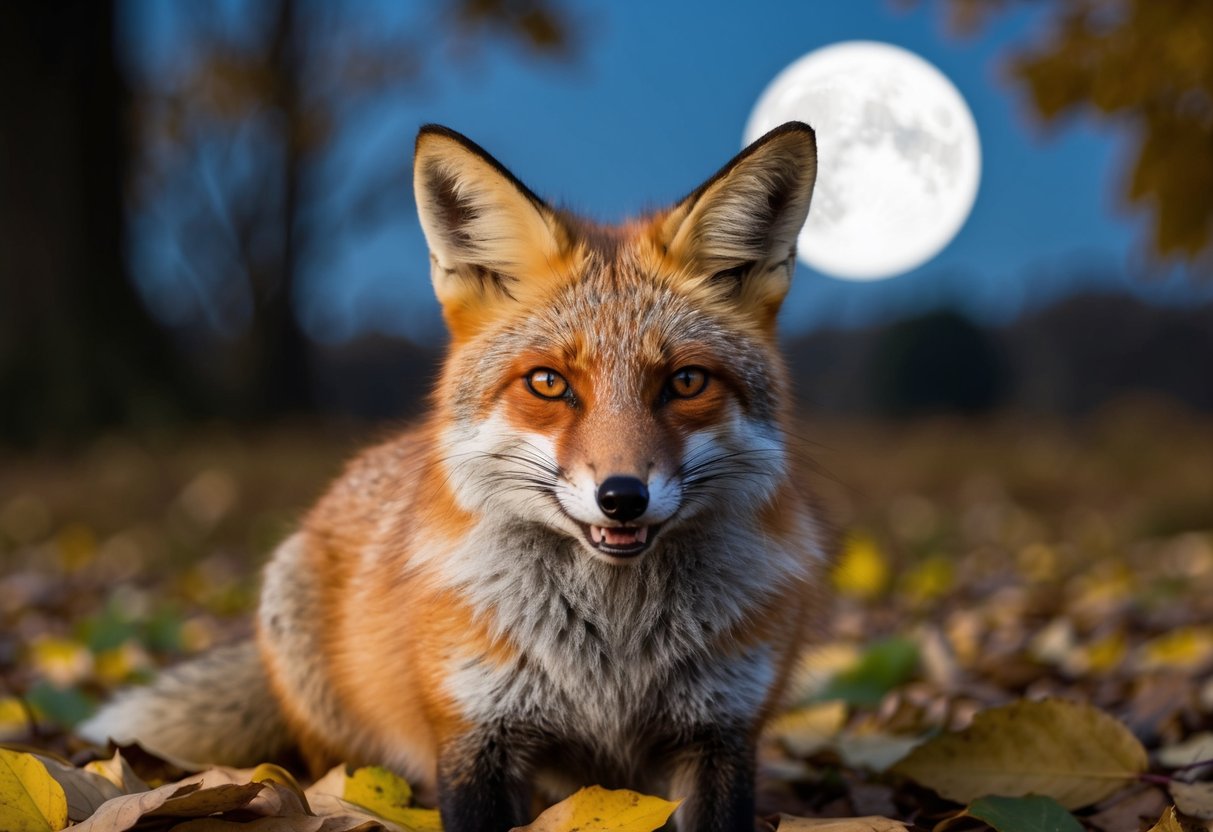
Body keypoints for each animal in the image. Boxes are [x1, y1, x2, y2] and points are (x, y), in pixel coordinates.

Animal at [81, 121, 831, 831]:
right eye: (548, 383)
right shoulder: (475, 732)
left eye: (686, 382)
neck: (611, 661)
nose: (622, 498)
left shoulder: (722, 735)